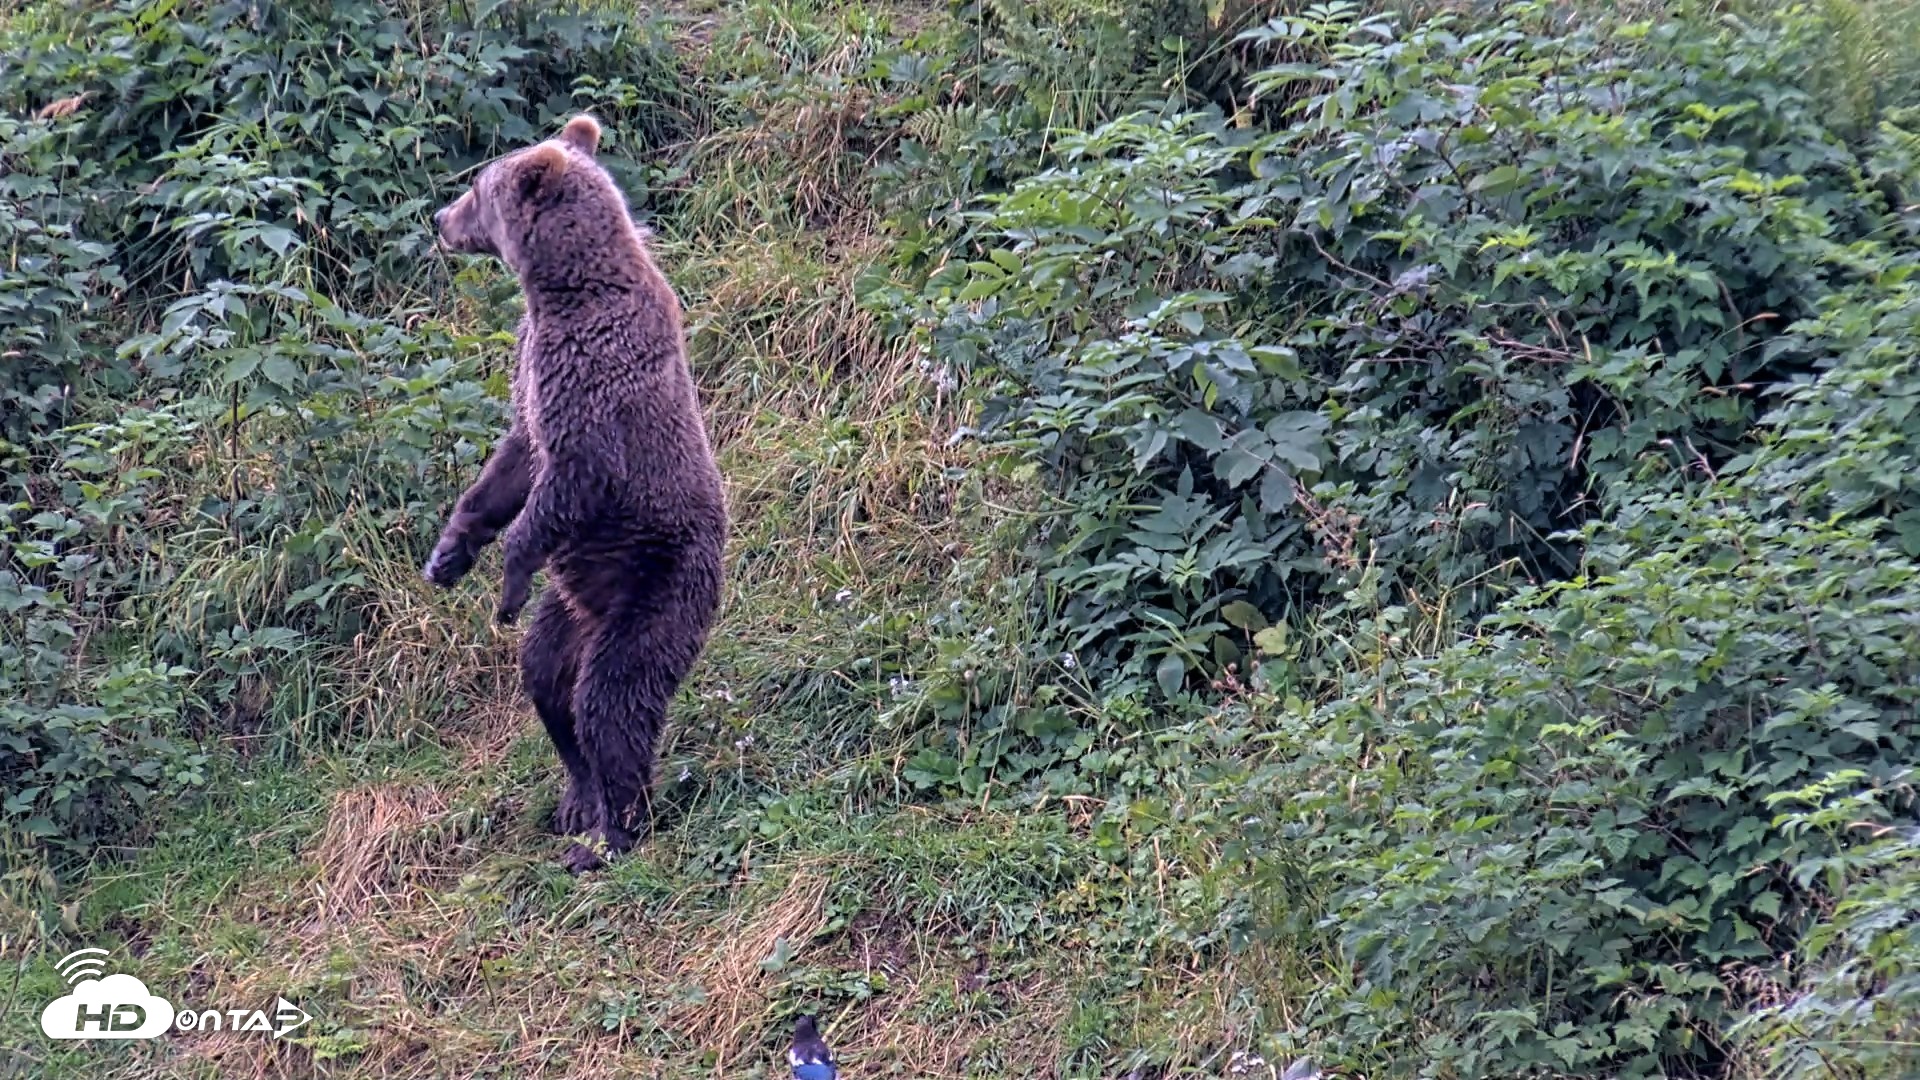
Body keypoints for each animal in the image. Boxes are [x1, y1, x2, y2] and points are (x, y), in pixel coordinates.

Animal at [422, 114, 727, 873]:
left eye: (476, 189)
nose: (439, 219)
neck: (564, 289)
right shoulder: (532, 370)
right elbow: (512, 460)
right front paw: (449, 553)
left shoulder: (592, 384)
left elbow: (567, 483)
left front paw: (507, 577)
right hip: (566, 613)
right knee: (547, 684)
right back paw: (576, 798)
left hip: (657, 586)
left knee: (612, 699)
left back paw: (609, 833)